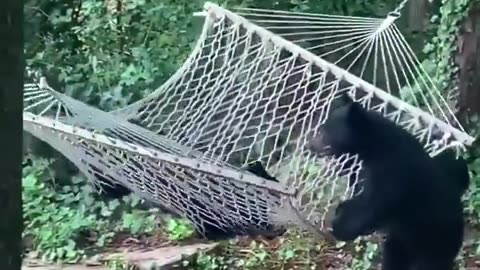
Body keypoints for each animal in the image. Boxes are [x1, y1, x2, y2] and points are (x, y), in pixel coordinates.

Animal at [306, 97, 466, 270]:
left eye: (324, 131)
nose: (310, 145)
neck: (375, 147)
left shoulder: (394, 170)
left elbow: (376, 203)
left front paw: (341, 227)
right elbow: (362, 196)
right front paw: (342, 210)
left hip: (435, 241)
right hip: (401, 241)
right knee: (393, 256)